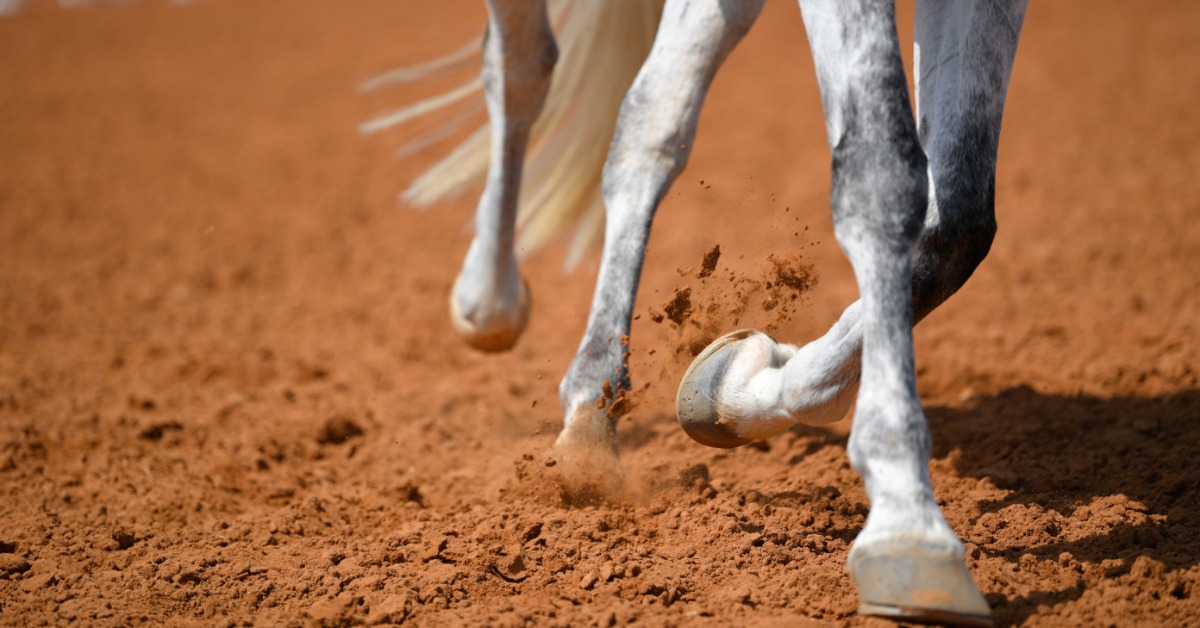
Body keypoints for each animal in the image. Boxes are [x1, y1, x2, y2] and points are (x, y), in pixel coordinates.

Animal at [365, 1, 1027, 625]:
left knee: (652, 116)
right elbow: (881, 173)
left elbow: (961, 220)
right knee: (529, 66)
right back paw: (502, 317)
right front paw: (908, 529)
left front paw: (741, 385)